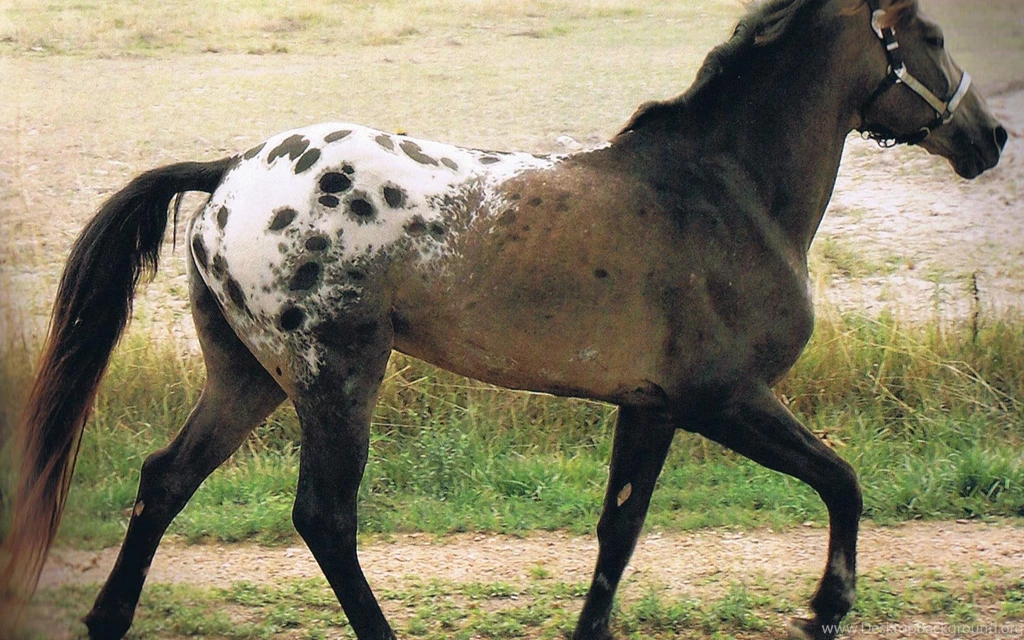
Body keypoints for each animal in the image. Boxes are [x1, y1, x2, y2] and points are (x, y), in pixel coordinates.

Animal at [1, 0, 1006, 638]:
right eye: (930, 34)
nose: (990, 139)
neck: (728, 191)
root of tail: (234, 172)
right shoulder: (725, 398)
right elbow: (843, 481)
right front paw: (827, 608)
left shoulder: (650, 407)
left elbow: (619, 533)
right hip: (335, 378)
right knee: (325, 515)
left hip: (246, 376)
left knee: (166, 479)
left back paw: (107, 620)